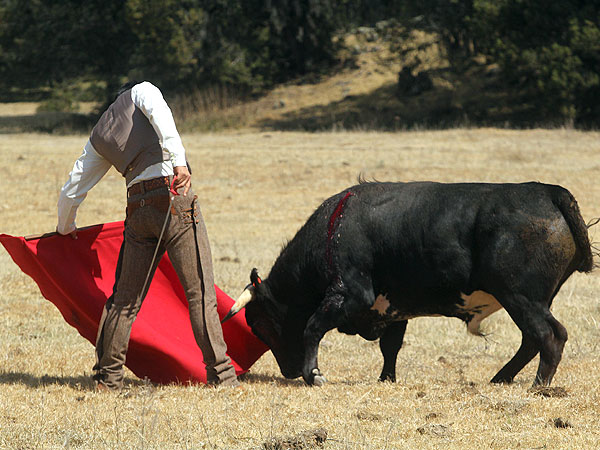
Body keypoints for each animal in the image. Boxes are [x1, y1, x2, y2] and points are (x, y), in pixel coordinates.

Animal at [223, 183, 592, 386]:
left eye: (259, 325)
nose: (288, 371)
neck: (333, 229)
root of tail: (549, 193)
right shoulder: (394, 308)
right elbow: (391, 346)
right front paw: (386, 378)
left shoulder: (348, 295)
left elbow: (312, 328)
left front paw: (314, 374)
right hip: (531, 300)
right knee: (532, 339)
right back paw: (502, 378)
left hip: (520, 297)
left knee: (549, 335)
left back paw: (538, 385)